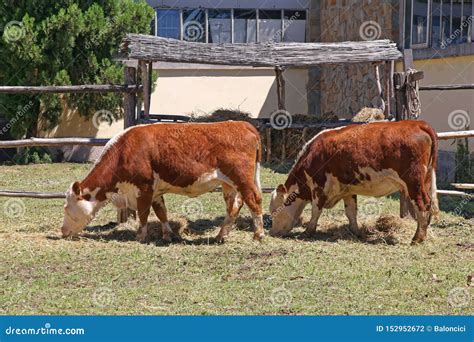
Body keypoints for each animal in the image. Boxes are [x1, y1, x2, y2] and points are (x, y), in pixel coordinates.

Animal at [60, 120, 262, 243]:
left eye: (67, 209)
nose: (62, 231)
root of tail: (242, 124)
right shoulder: (155, 192)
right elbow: (161, 213)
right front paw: (167, 235)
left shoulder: (143, 187)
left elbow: (143, 214)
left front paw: (140, 236)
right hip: (228, 184)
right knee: (234, 207)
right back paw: (220, 236)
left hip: (242, 179)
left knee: (254, 200)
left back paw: (258, 235)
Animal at [270, 120, 440, 243]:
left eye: (274, 212)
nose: (272, 233)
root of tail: (418, 123)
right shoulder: (347, 189)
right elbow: (351, 212)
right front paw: (356, 232)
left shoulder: (319, 187)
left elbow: (315, 211)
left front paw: (308, 231)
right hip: (425, 180)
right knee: (429, 204)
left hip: (413, 182)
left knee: (423, 204)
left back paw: (417, 238)